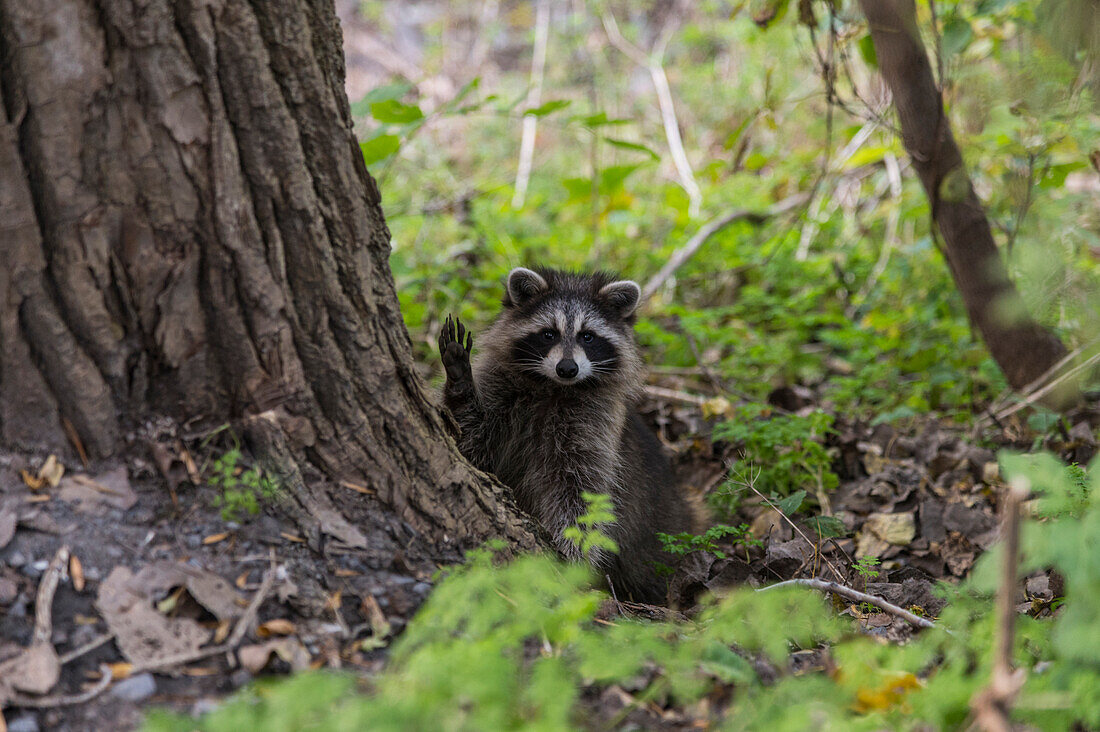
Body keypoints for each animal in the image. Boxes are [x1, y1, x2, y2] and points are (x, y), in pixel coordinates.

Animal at [437, 265, 695, 603]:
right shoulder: (500, 391)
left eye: (587, 336)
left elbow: (580, 492)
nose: (568, 368)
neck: (554, 387)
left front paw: (572, 554)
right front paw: (460, 384)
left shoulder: (593, 426)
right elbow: (469, 439)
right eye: (549, 334)